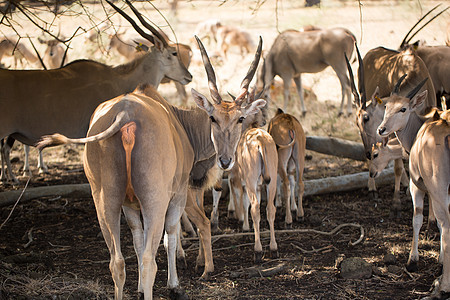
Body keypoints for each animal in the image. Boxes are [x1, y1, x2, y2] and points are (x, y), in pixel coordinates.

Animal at [376, 85, 450, 298]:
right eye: (386, 106)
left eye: (403, 109)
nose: (381, 129)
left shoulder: (417, 186)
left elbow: (418, 219)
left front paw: (413, 261)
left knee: (447, 227)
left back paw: (443, 286)